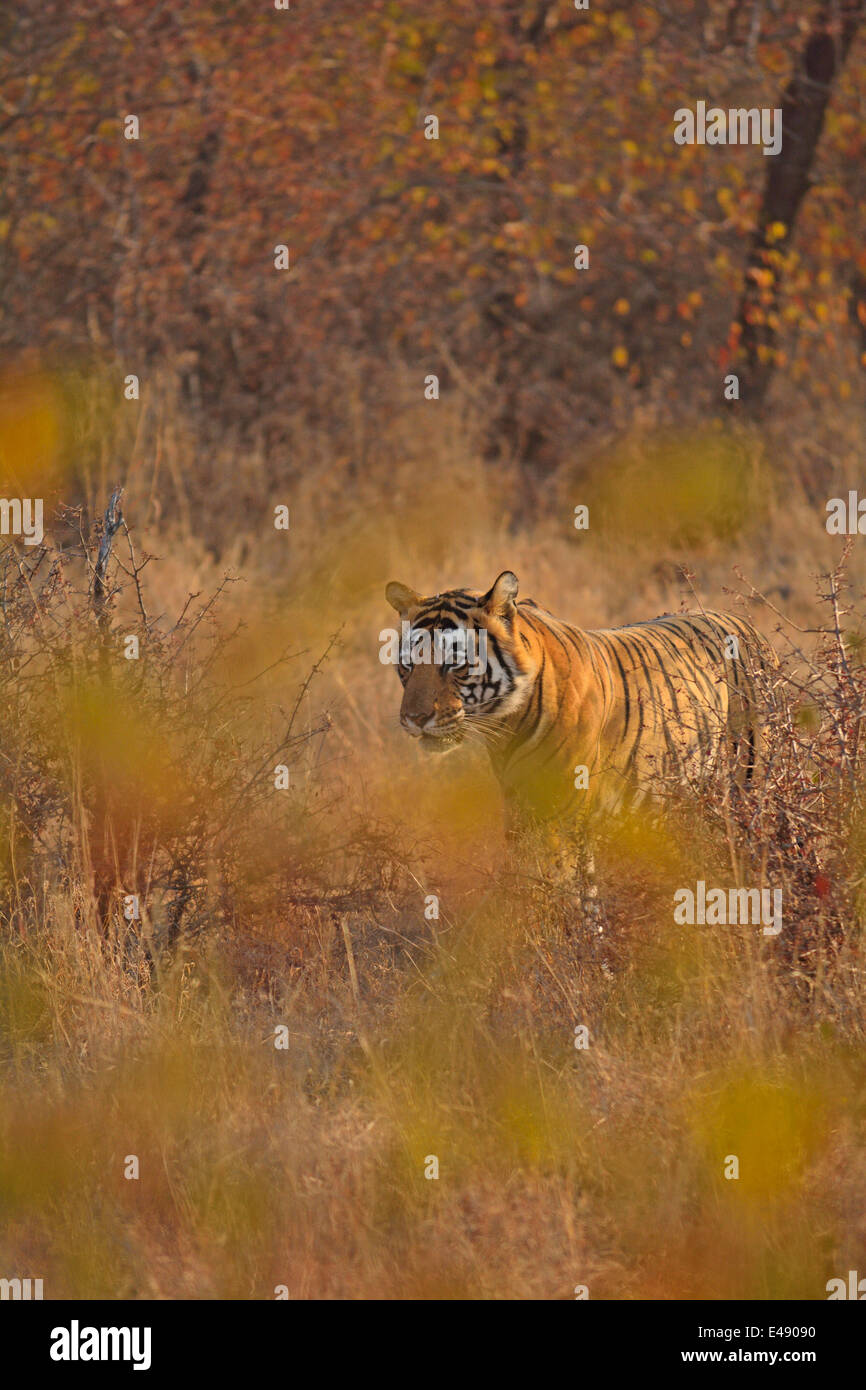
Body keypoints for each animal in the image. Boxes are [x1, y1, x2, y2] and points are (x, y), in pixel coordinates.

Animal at [386, 567, 772, 834]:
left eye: (454, 663)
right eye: (408, 665)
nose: (414, 719)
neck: (506, 724)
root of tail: (747, 623)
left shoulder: (563, 809)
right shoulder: (519, 807)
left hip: (749, 782)